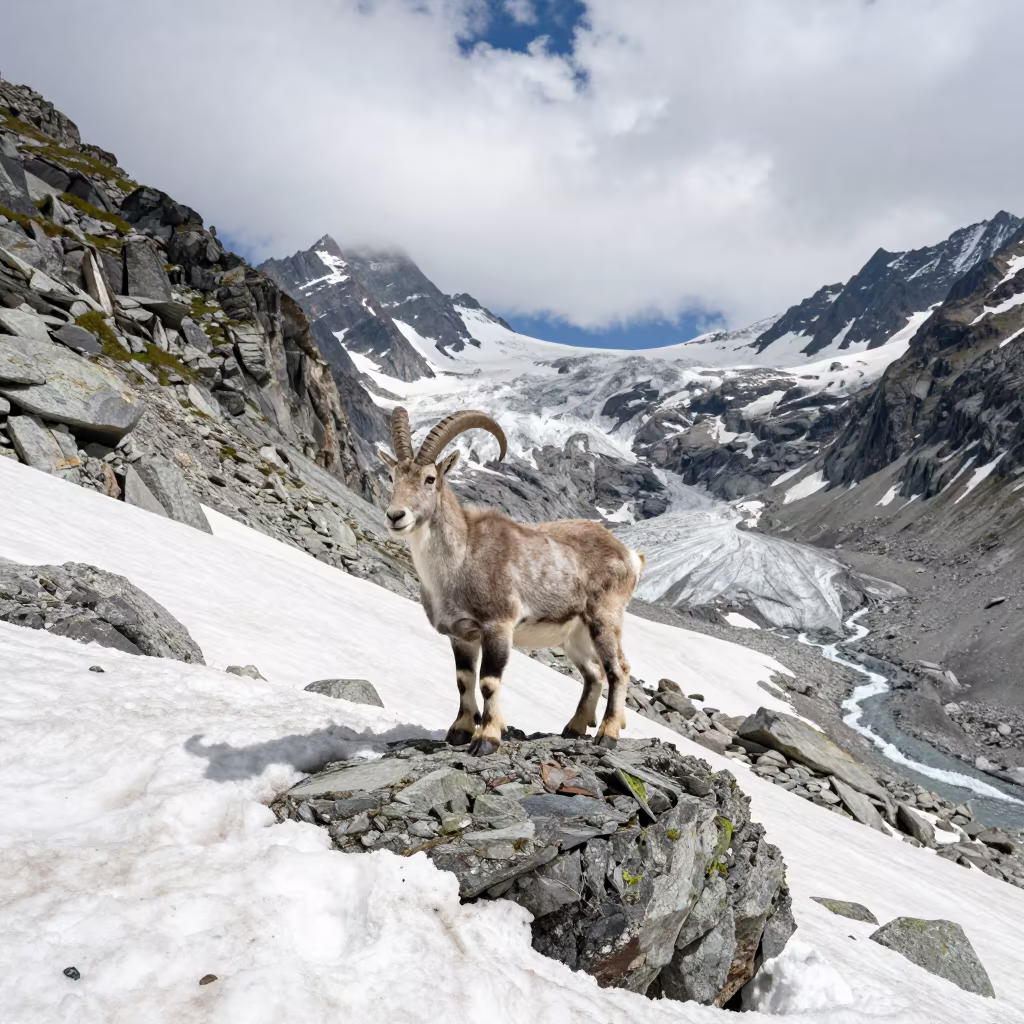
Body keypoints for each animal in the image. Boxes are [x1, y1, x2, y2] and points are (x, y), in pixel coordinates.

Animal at [378, 406, 645, 755]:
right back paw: (574, 727)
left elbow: (488, 682)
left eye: (429, 478)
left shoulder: (498, 626)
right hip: (574, 636)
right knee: (593, 673)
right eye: (393, 476)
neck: (461, 559)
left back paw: (608, 732)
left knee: (618, 669)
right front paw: (460, 730)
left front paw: (487, 737)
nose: (396, 516)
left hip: (605, 618)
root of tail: (630, 556)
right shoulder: (461, 635)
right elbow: (463, 679)